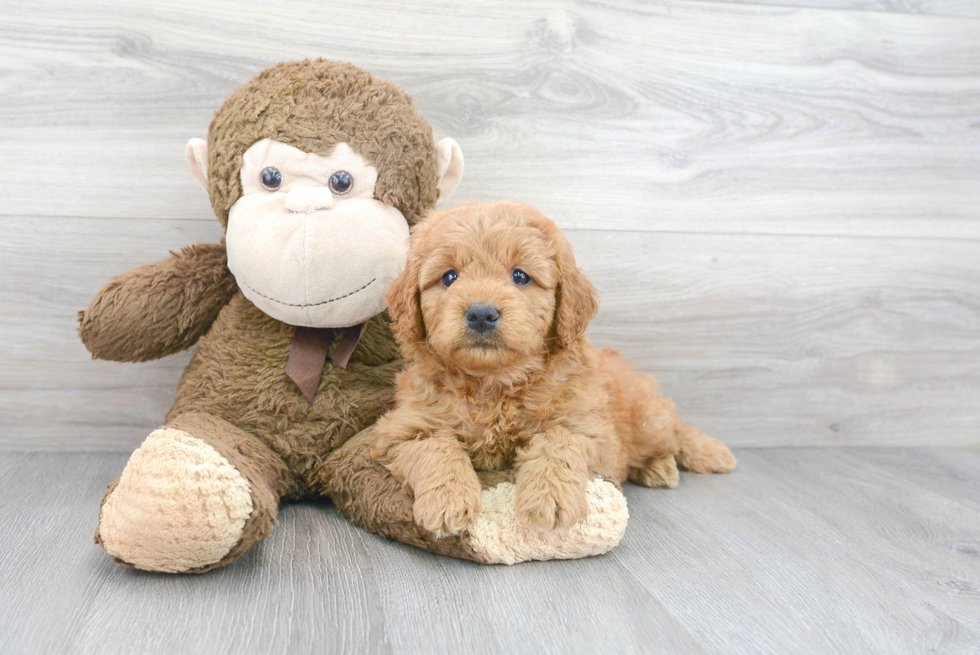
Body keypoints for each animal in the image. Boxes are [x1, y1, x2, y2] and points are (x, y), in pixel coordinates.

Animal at [374, 202, 736, 536]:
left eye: (520, 276)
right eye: (449, 277)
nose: (481, 314)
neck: (494, 384)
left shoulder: (590, 428)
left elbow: (558, 442)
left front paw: (550, 498)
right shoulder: (402, 428)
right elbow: (437, 447)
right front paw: (446, 500)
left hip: (649, 421)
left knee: (675, 432)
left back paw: (675, 464)